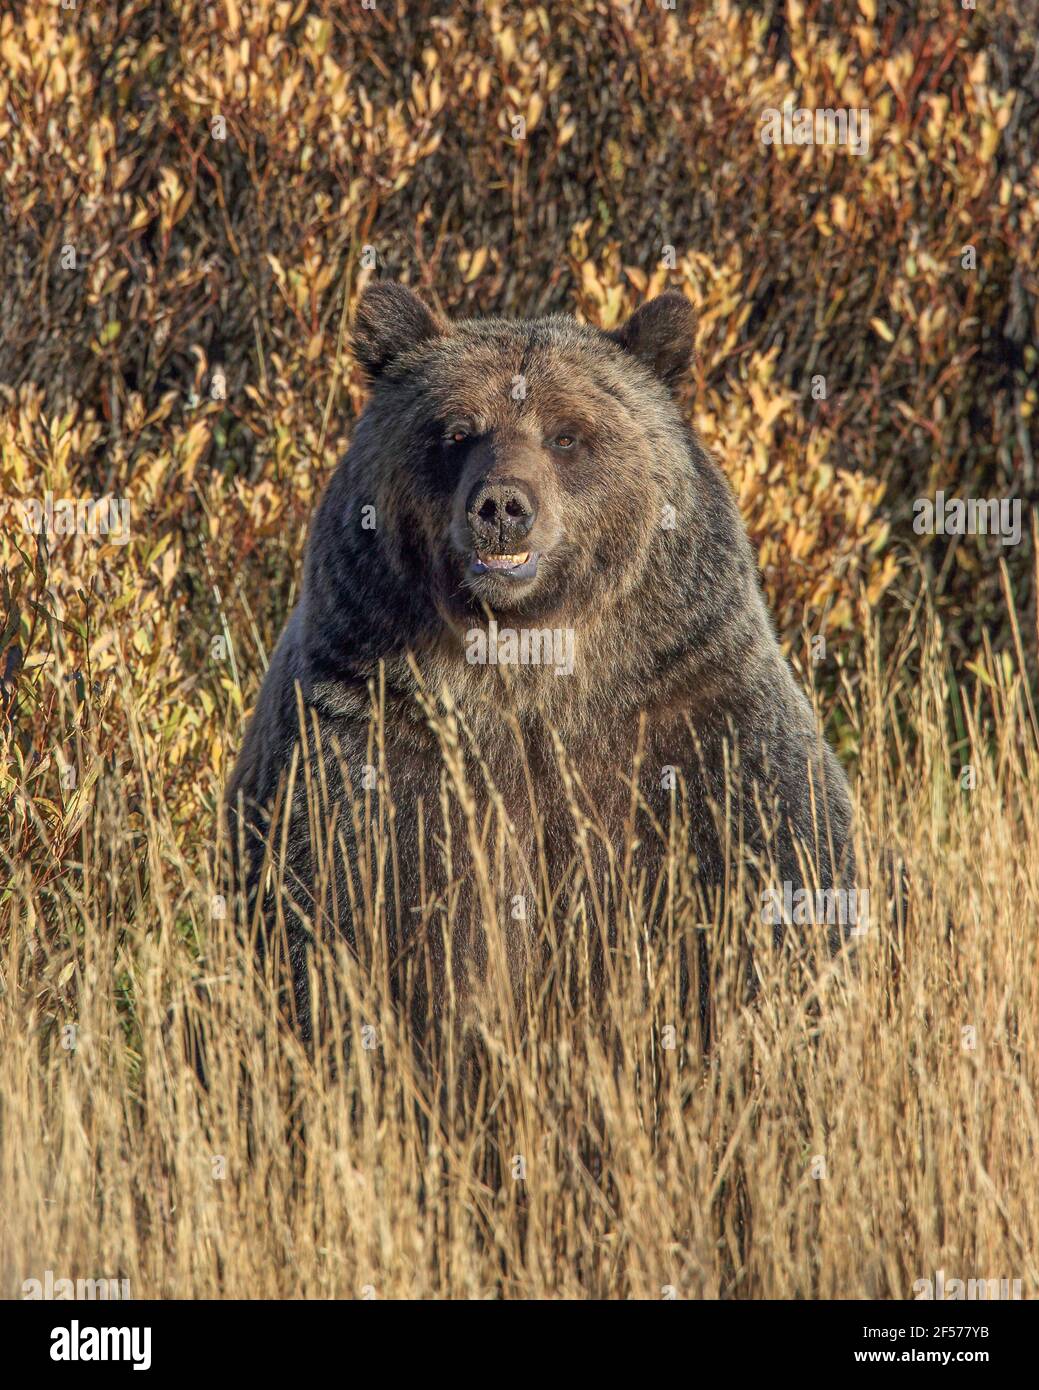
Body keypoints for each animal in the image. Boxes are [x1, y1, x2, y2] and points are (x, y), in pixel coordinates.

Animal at [228, 284, 851, 1045]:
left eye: (566, 435)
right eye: (456, 431)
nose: (502, 505)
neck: (530, 661)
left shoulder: (696, 722)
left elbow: (784, 881)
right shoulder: (375, 737)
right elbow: (342, 918)